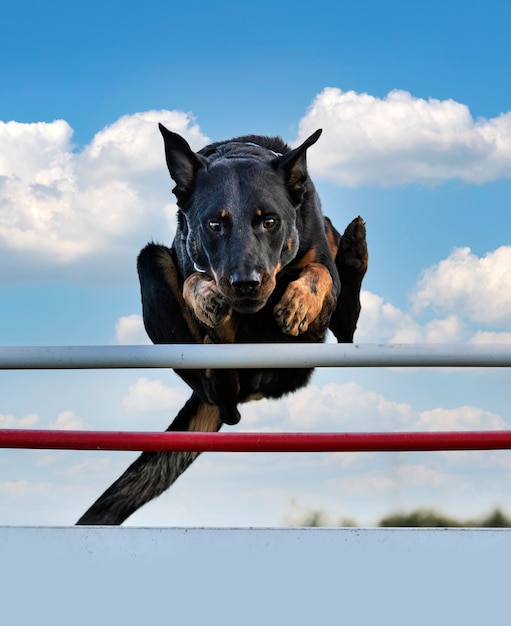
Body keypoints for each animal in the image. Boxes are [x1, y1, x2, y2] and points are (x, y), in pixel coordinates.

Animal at [77, 122, 368, 520]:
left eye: (270, 221)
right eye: (214, 224)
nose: (245, 283)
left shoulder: (316, 260)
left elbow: (319, 271)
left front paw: (298, 300)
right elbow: (192, 280)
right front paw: (207, 295)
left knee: (345, 323)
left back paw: (354, 252)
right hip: (151, 263)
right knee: (218, 390)